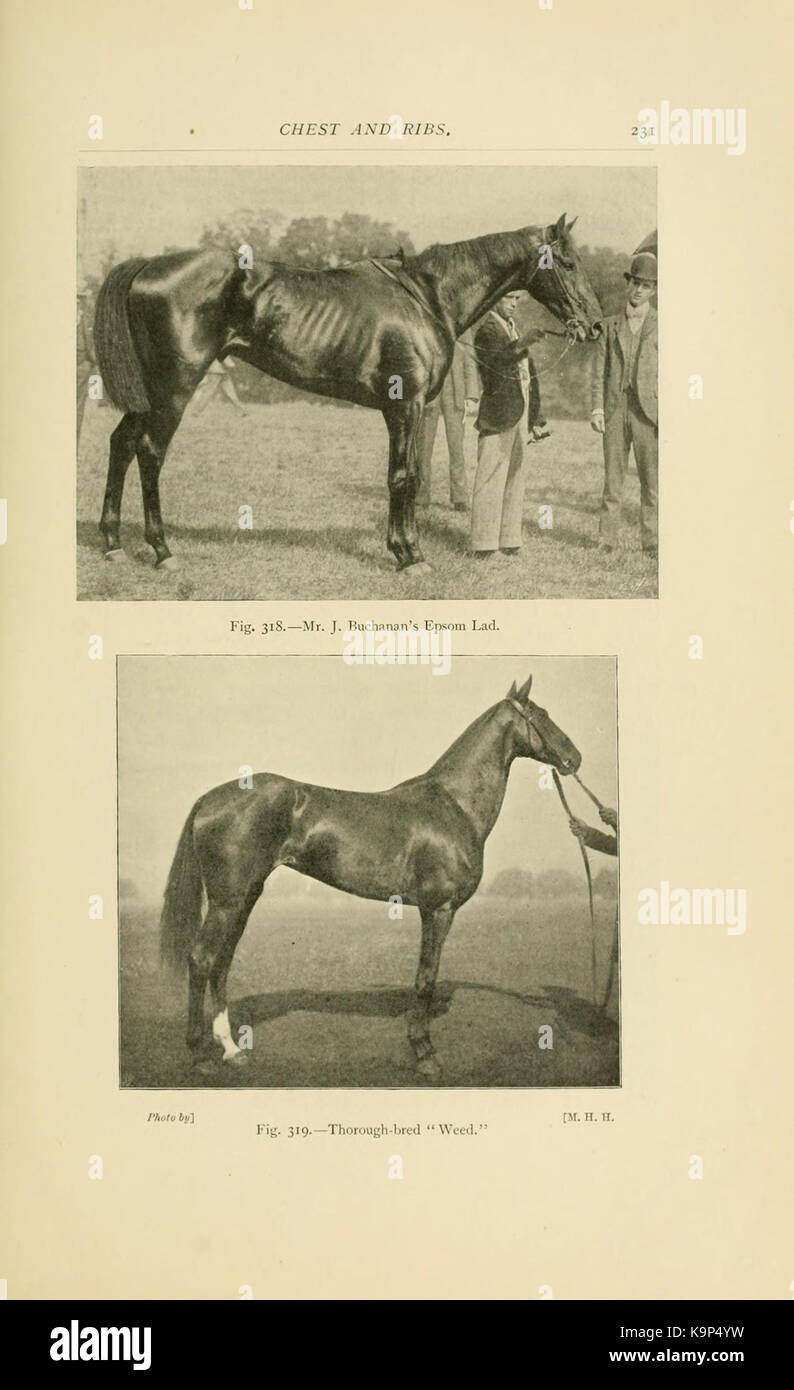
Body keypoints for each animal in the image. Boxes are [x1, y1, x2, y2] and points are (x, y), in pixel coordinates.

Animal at [93, 214, 602, 575]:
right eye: (568, 263)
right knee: (150, 451)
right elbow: (403, 477)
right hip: (174, 389)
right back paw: (162, 550)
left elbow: (408, 474)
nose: (595, 325)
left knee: (120, 444)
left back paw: (113, 545)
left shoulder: (409, 410)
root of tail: (147, 265)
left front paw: (403, 548)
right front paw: (411, 557)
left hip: (149, 394)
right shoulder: (405, 404)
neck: (426, 296)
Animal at [158, 675, 582, 1079]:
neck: (453, 805)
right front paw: (425, 1054)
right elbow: (425, 979)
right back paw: (199, 1055)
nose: (574, 758)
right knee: (201, 959)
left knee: (222, 962)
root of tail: (209, 799)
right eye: (540, 715)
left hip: (244, 898)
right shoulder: (438, 908)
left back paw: (231, 1050)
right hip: (227, 902)